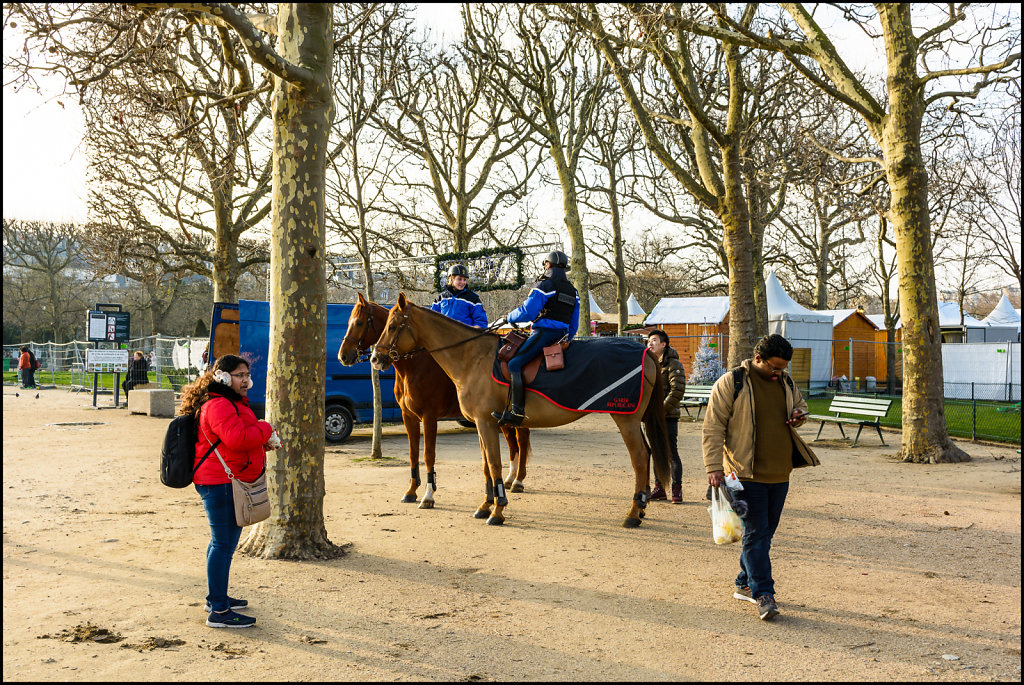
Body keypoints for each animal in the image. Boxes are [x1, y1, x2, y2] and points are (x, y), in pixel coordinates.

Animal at [339, 290, 532, 507]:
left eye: (359, 323)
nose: (343, 356)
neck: (413, 367)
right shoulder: (409, 417)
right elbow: (413, 453)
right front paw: (411, 490)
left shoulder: (429, 417)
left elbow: (428, 455)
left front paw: (428, 494)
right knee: (512, 443)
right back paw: (510, 478)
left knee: (521, 440)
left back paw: (518, 480)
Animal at [372, 290, 675, 528]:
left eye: (393, 325)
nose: (375, 357)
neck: (473, 357)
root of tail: (646, 350)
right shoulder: (482, 424)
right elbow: (486, 465)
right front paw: (486, 505)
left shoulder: (482, 422)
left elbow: (494, 464)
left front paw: (497, 510)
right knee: (646, 454)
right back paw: (640, 508)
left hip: (626, 419)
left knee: (640, 458)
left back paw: (634, 512)